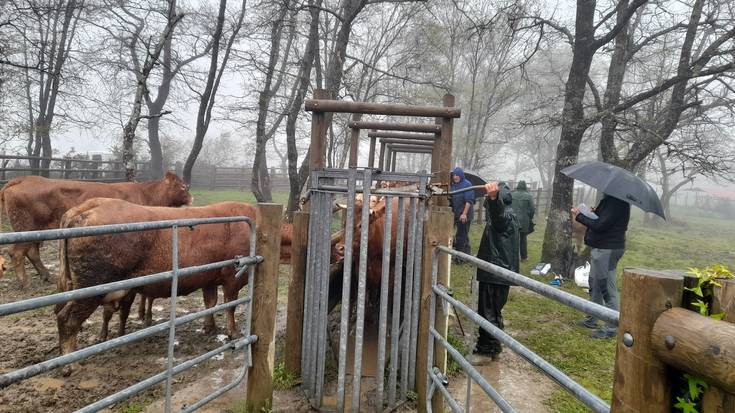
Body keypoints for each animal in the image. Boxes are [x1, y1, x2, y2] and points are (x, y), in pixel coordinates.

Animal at [0, 171, 193, 286]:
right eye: (183, 186)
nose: (191, 198)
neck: (145, 194)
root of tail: (24, 178)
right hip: (25, 227)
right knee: (17, 252)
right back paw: (24, 282)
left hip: (35, 231)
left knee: (32, 252)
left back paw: (46, 275)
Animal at [56, 198, 262, 356]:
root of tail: (86, 207)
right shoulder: (233, 278)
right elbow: (230, 305)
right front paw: (233, 332)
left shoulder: (208, 278)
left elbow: (210, 303)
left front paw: (209, 327)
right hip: (92, 287)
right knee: (66, 319)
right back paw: (70, 361)